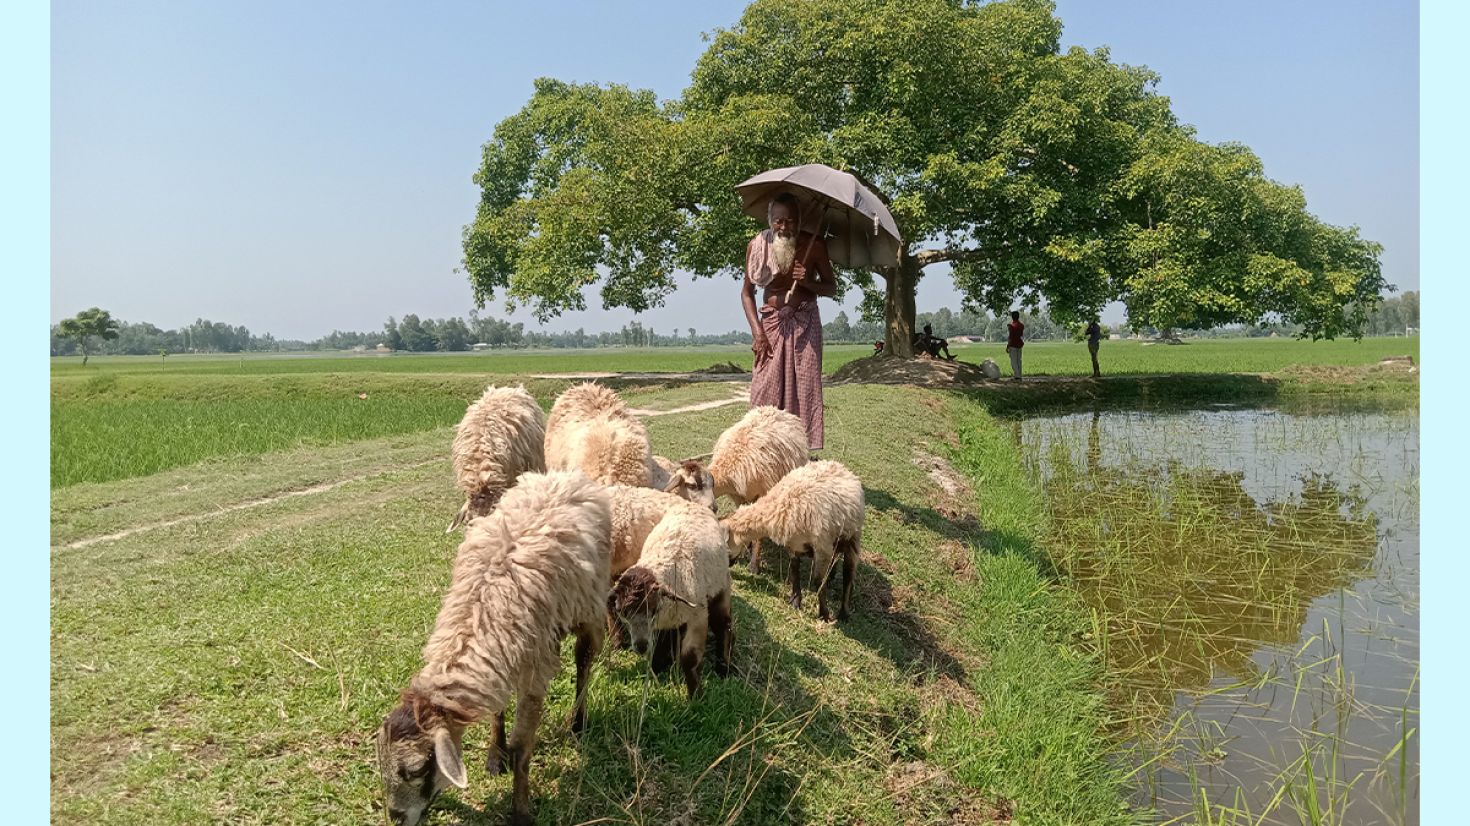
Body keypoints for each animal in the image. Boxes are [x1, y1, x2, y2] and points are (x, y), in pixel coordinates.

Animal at [379, 470, 614, 823]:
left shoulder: (534, 670)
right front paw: (494, 755)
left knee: (584, 660)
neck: (478, 615)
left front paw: (520, 811)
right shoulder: (500, 660)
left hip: (590, 607)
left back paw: (578, 722)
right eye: (382, 767)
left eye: (417, 769)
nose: (396, 816)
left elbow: (522, 747)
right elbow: (497, 712)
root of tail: (562, 476)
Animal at [605, 493, 732, 693]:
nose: (641, 647)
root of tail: (694, 506)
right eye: (623, 612)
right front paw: (656, 667)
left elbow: (689, 658)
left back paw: (724, 666)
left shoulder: (698, 617)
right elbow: (661, 643)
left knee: (724, 625)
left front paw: (695, 694)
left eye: (652, 609)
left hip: (720, 586)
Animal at [720, 455, 858, 617]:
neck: (779, 505)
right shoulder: (794, 544)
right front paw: (795, 601)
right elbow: (794, 570)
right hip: (835, 540)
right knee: (835, 558)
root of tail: (838, 465)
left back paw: (844, 611)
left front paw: (824, 614)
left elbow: (818, 580)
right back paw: (831, 577)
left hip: (853, 538)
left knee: (849, 572)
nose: (729, 566)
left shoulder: (821, 546)